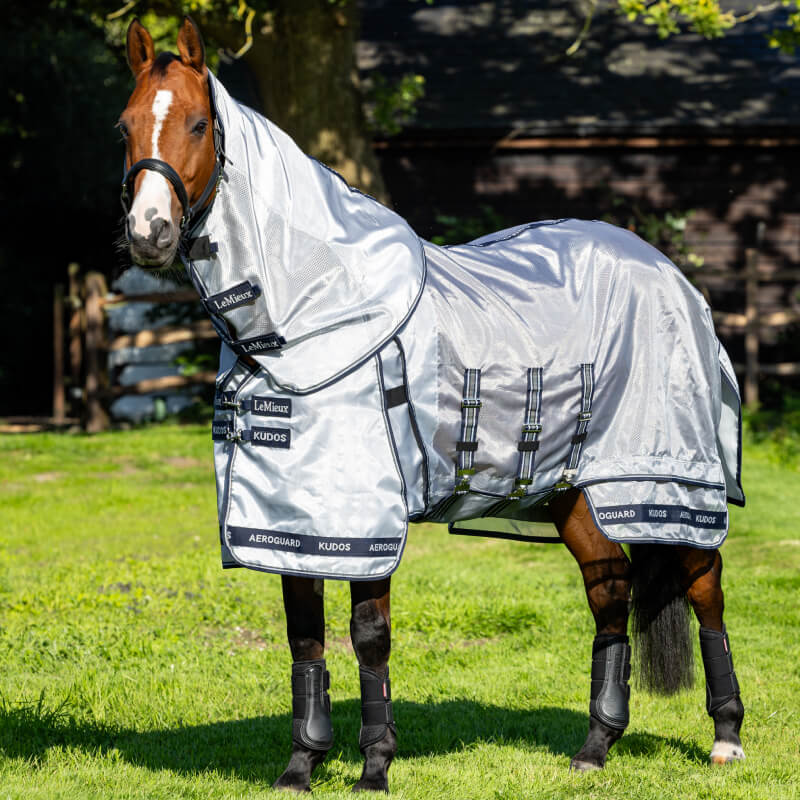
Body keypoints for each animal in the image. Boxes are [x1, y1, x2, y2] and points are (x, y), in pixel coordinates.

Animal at [118, 17, 745, 792]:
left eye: (200, 124)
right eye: (124, 127)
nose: (148, 233)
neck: (311, 314)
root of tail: (672, 275)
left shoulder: (363, 521)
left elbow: (369, 638)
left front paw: (374, 767)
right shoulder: (290, 518)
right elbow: (304, 636)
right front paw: (301, 765)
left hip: (664, 483)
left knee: (704, 586)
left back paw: (725, 739)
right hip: (573, 491)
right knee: (611, 592)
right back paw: (596, 745)